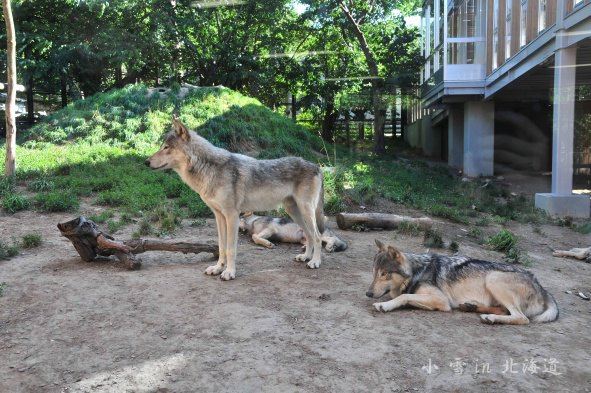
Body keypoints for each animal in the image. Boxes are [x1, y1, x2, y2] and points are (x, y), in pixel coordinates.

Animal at [146, 116, 326, 278]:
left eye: (166, 147)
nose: (146, 162)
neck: (209, 169)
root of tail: (316, 166)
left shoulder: (232, 215)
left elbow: (231, 248)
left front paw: (229, 272)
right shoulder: (219, 216)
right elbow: (221, 247)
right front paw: (218, 268)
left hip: (305, 211)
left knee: (317, 236)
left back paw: (315, 262)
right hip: (294, 212)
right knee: (310, 235)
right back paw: (305, 257)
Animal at [366, 239, 560, 324]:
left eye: (384, 274)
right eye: (374, 272)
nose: (368, 293)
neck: (416, 272)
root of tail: (542, 287)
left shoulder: (441, 301)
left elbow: (403, 296)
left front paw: (385, 305)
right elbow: (404, 296)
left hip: (493, 278)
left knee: (522, 318)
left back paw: (490, 318)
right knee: (505, 311)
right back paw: (471, 307)